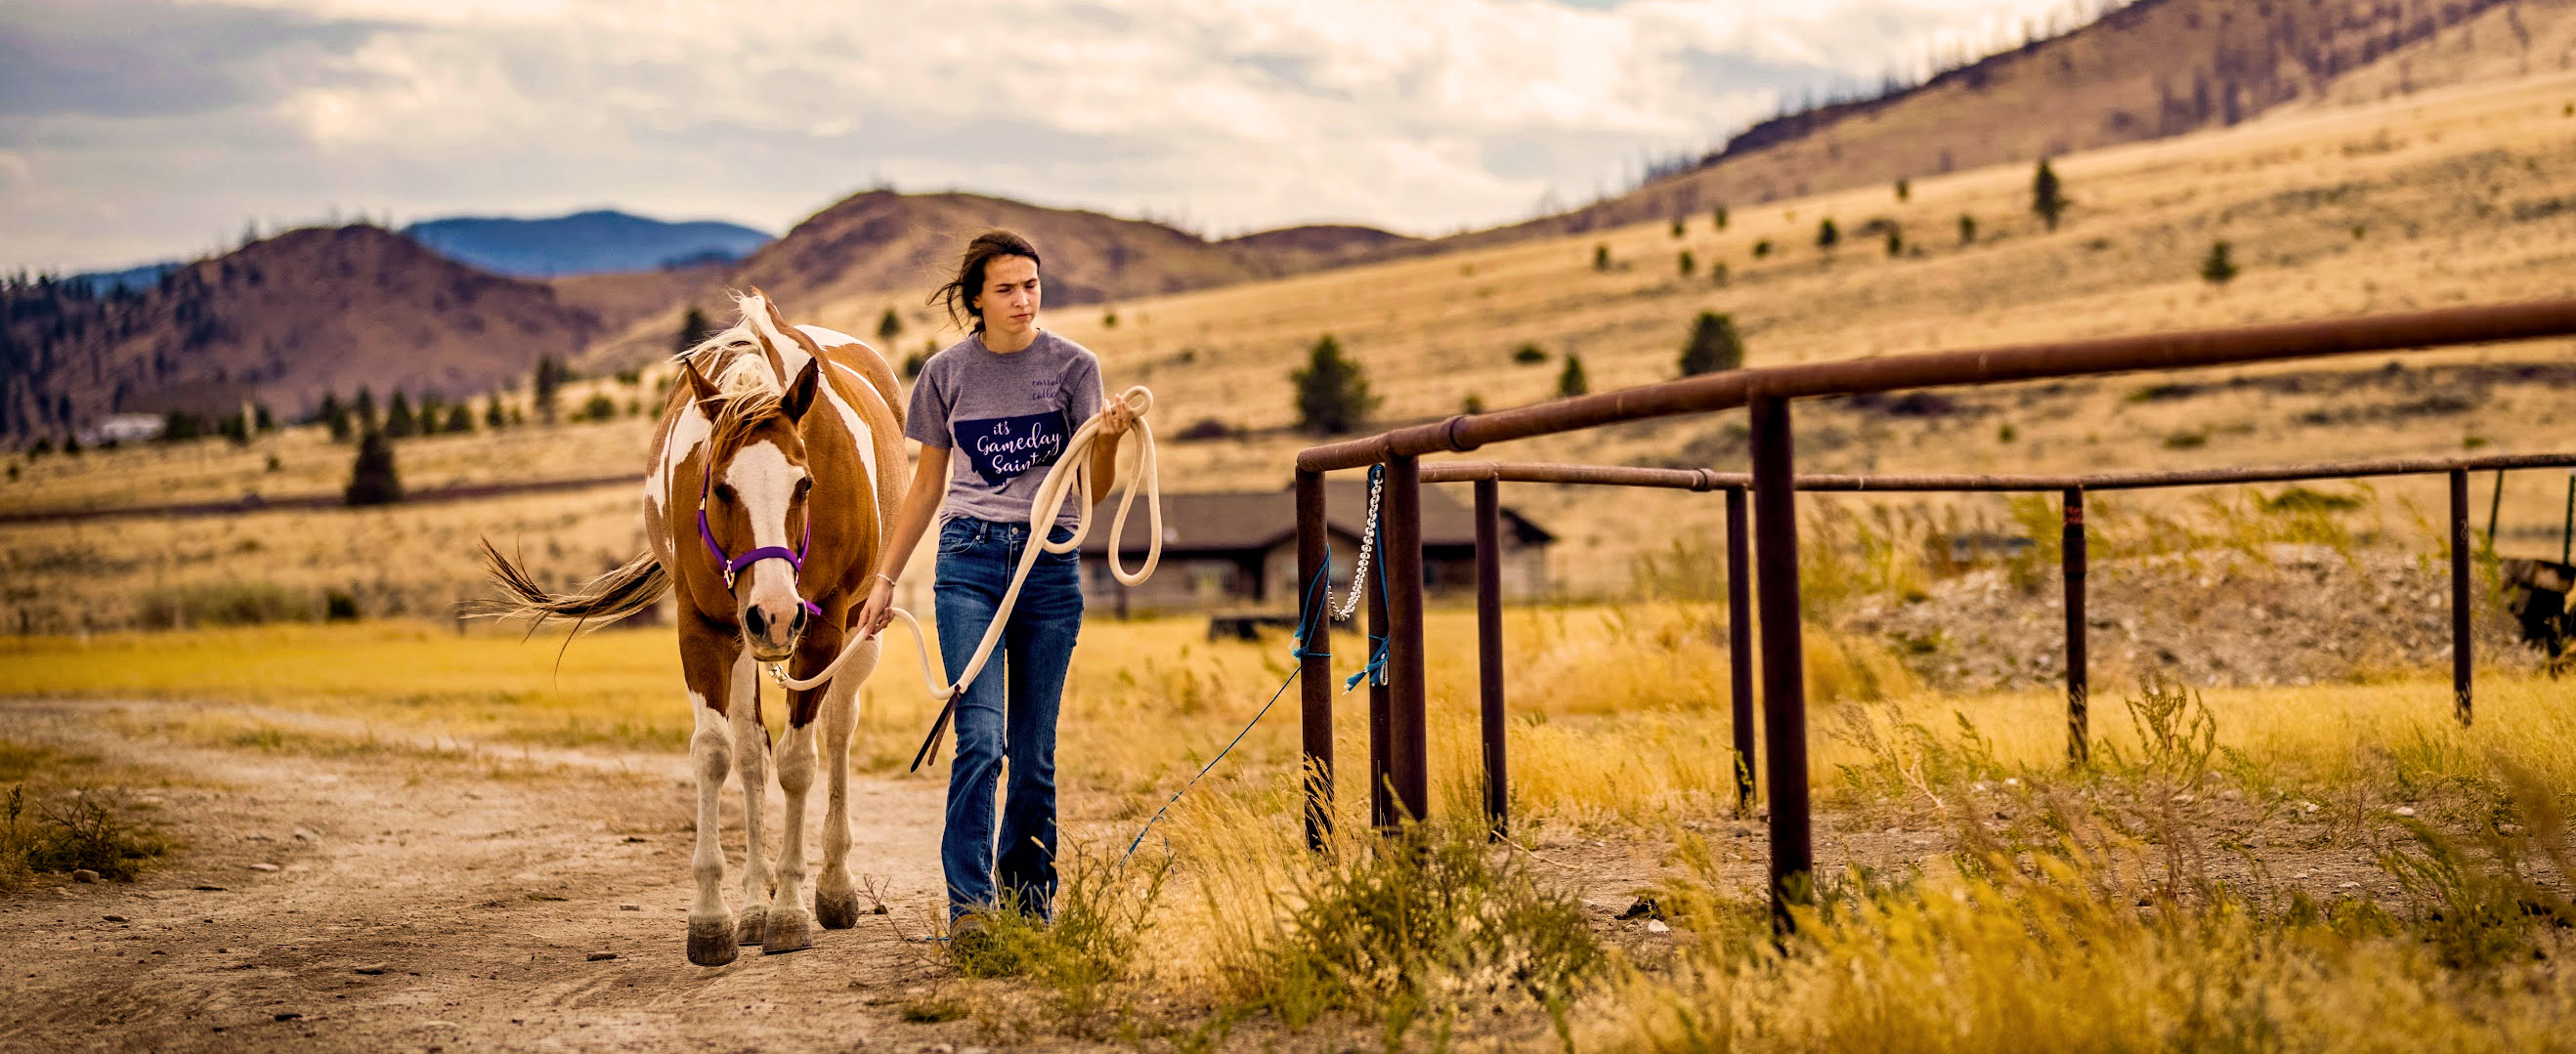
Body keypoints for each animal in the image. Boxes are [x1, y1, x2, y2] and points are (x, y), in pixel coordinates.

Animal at [479, 287, 912, 958]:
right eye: (721, 487)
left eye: (805, 484)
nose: (775, 613)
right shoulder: (703, 625)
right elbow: (716, 754)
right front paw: (715, 917)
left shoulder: (823, 629)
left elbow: (800, 761)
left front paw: (790, 909)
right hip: (745, 643)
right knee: (753, 749)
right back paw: (754, 901)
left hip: (859, 631)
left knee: (837, 731)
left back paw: (834, 887)